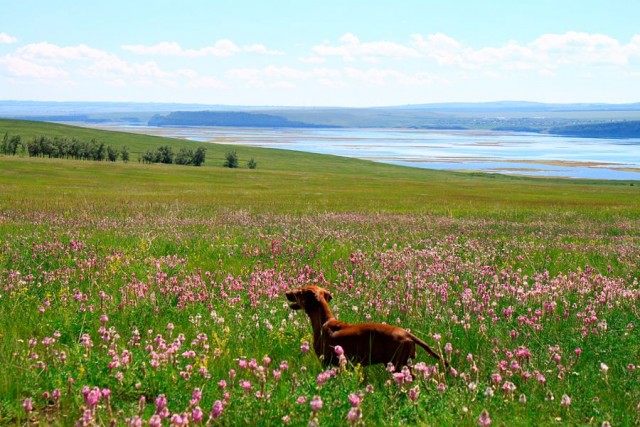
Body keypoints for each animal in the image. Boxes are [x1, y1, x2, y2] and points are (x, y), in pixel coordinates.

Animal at [286, 286, 444, 372]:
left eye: (300, 291)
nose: (286, 292)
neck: (326, 322)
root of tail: (408, 334)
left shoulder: (326, 362)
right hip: (404, 364)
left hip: (396, 364)